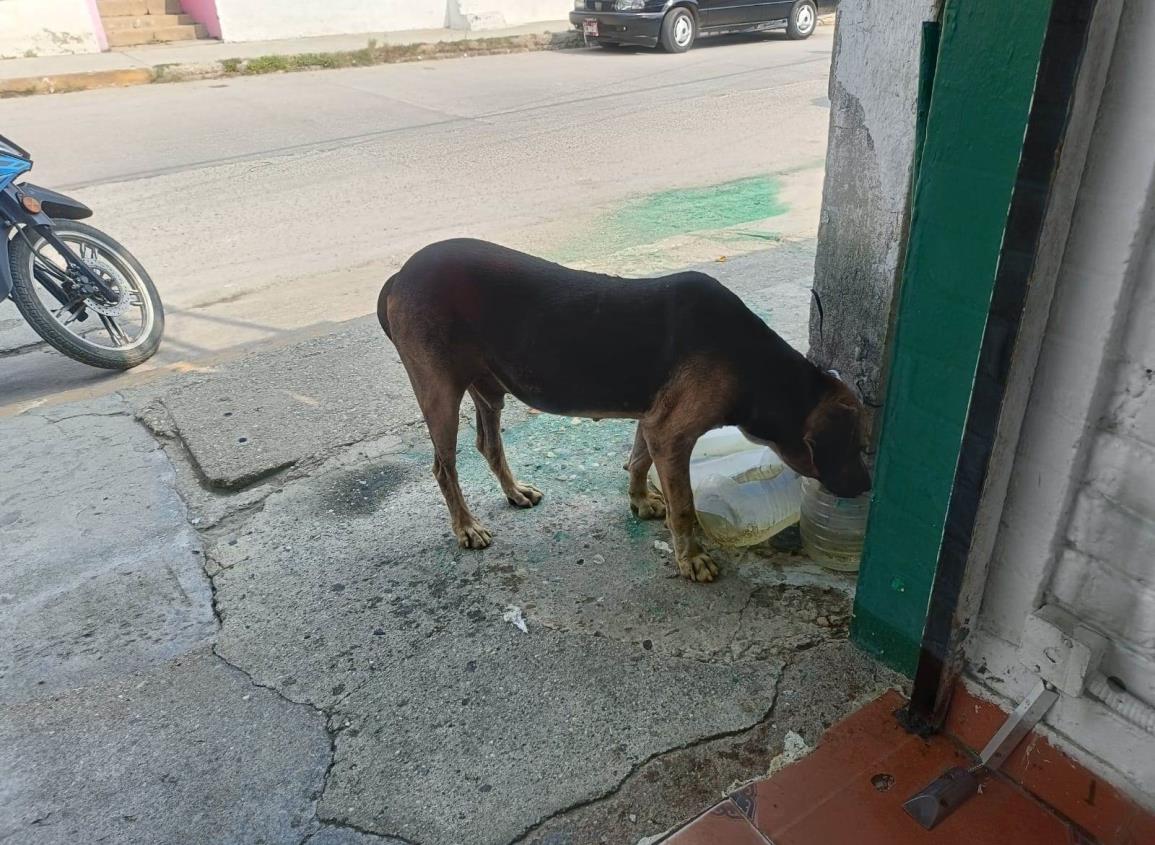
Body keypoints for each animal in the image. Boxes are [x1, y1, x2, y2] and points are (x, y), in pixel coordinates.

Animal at [376, 238, 868, 581]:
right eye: (858, 445)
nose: (866, 488)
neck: (759, 367)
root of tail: (399, 275)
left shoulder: (653, 422)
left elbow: (638, 460)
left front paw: (640, 500)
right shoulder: (672, 433)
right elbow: (684, 506)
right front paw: (691, 558)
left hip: (488, 388)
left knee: (488, 444)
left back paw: (514, 492)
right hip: (438, 391)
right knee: (444, 467)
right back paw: (465, 527)